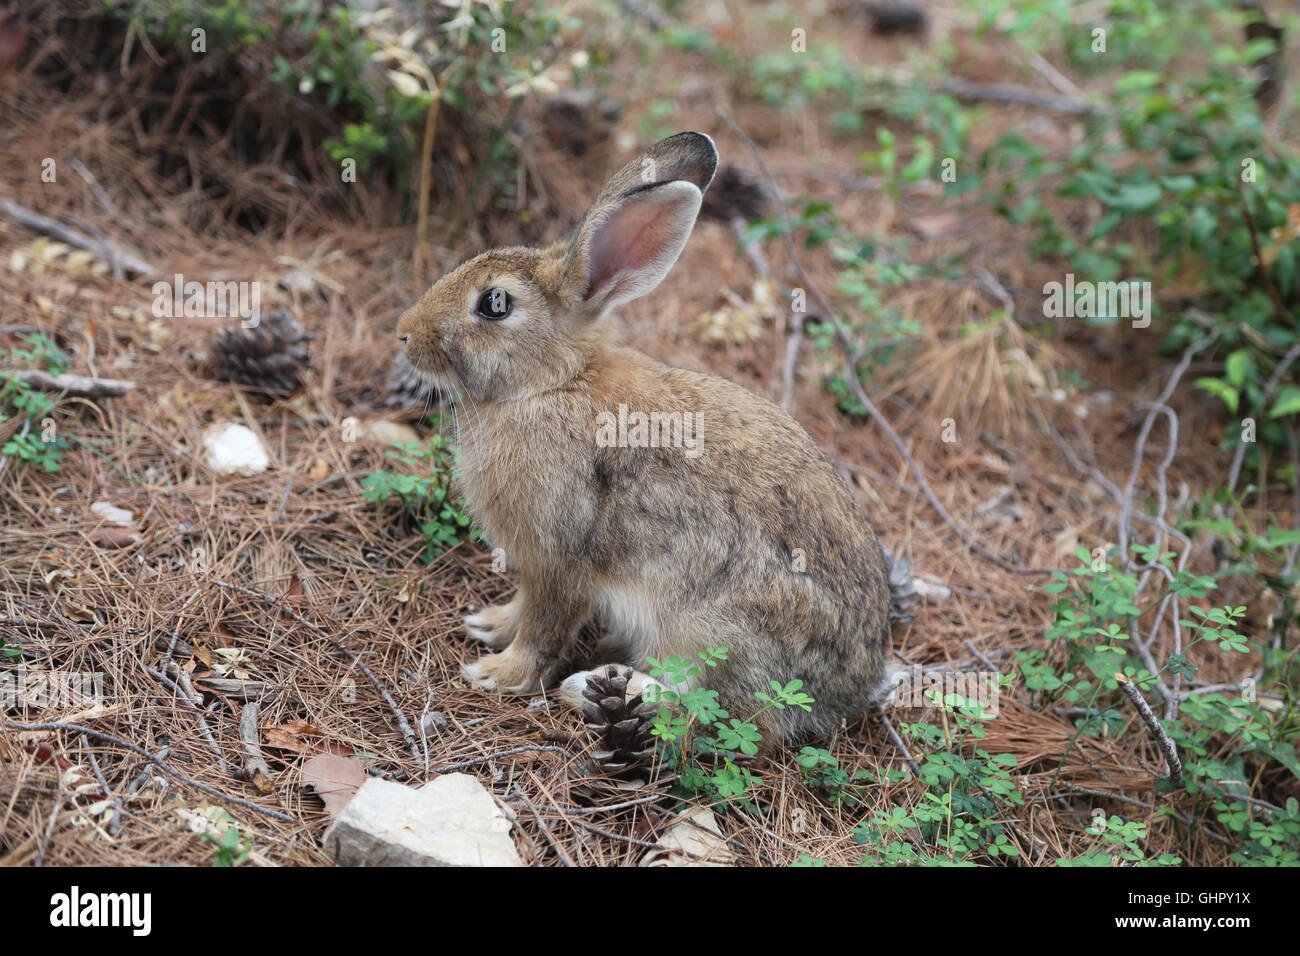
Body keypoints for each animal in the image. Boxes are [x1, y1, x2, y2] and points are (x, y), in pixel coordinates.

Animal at [395, 132, 894, 747]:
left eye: (494, 304)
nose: (405, 334)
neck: (553, 382)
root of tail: (847, 695)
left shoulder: (561, 559)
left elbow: (544, 628)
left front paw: (496, 674)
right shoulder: (535, 568)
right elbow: (523, 607)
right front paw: (489, 624)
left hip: (710, 628)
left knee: (717, 713)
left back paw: (597, 691)